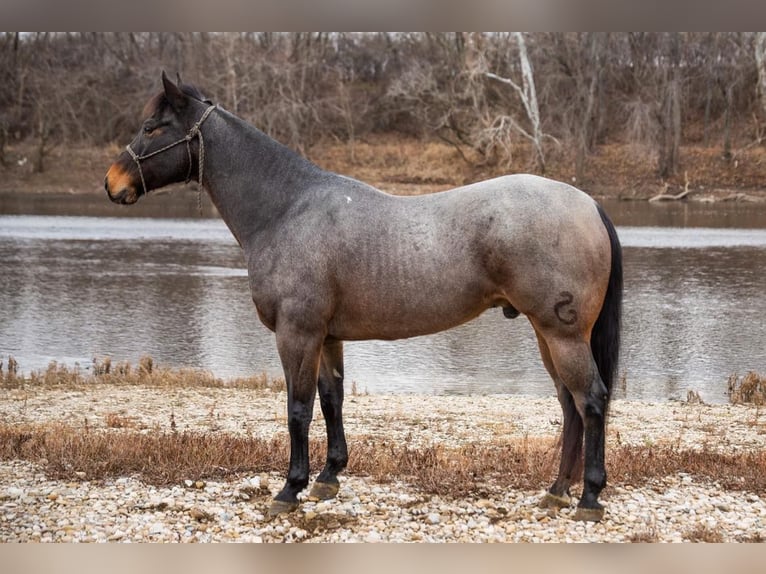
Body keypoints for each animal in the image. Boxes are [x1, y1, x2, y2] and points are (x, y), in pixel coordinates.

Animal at [106, 74, 624, 524]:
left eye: (153, 127)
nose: (112, 182)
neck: (287, 209)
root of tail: (589, 204)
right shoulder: (327, 337)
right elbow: (331, 400)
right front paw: (328, 477)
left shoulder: (297, 334)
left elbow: (298, 409)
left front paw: (289, 489)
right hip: (546, 335)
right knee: (569, 405)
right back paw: (556, 491)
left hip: (562, 334)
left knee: (591, 400)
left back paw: (589, 497)